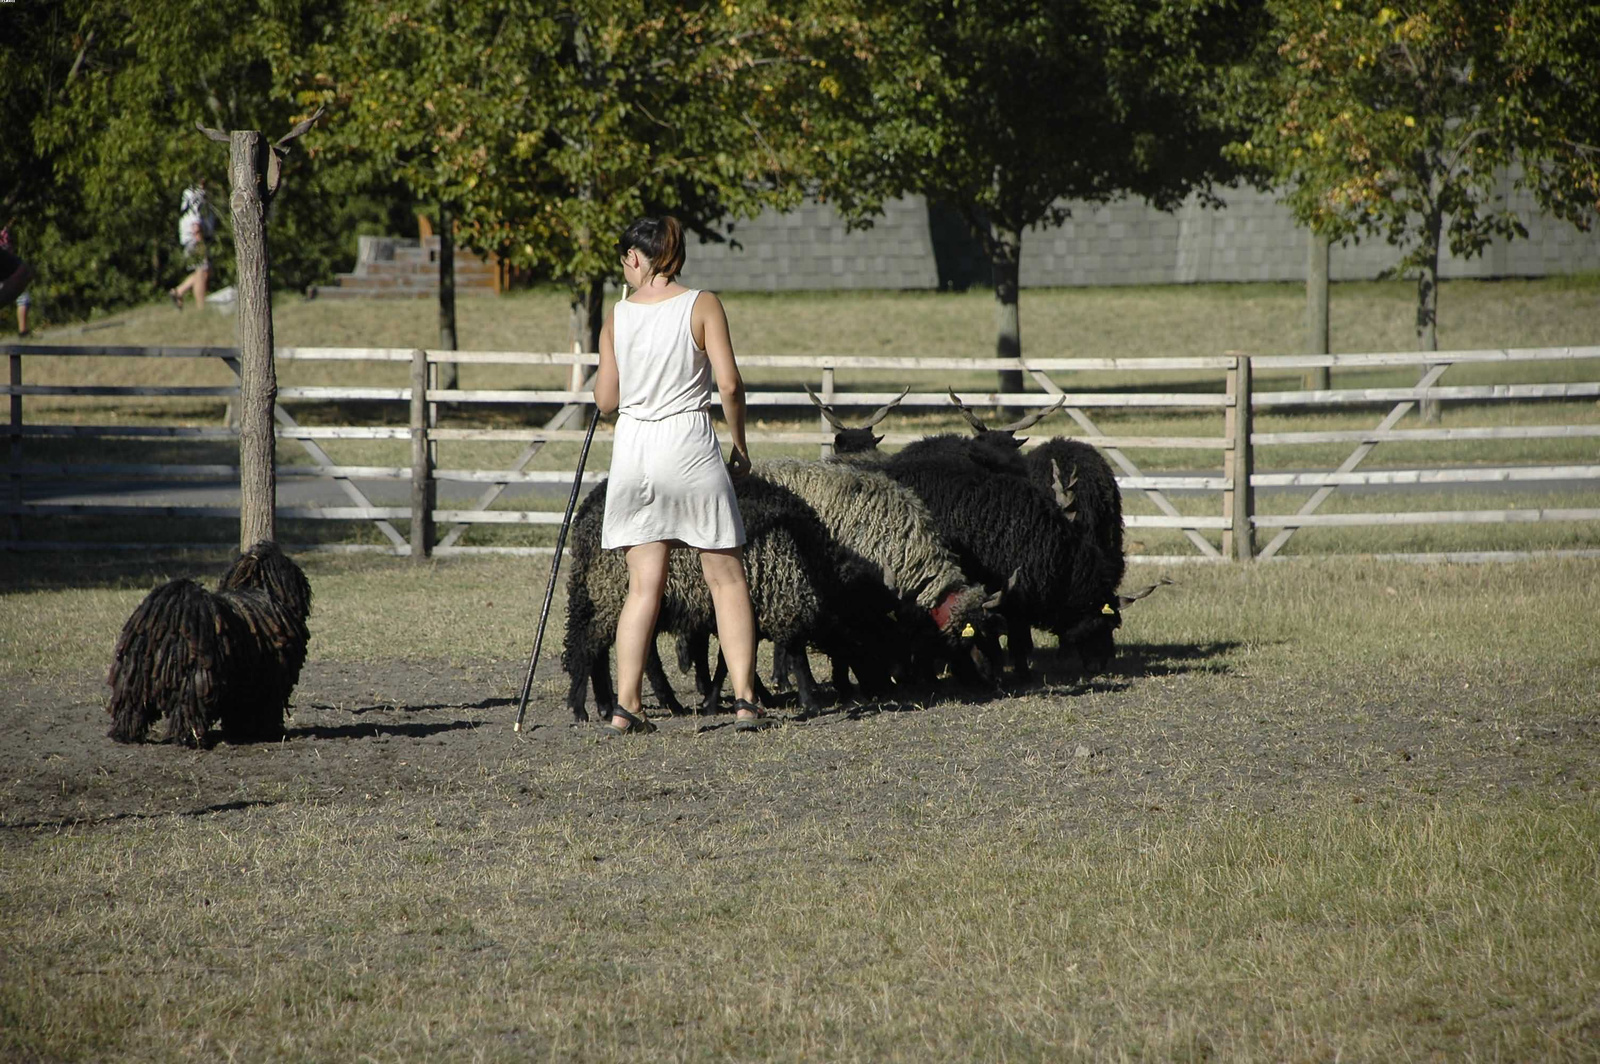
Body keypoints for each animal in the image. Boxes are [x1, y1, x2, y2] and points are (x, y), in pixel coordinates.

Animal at [105, 540, 312, 745]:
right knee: (187, 709)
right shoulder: (270, 679)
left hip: (134, 673)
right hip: (195, 678)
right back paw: (189, 738)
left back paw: (125, 734)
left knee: (131, 705)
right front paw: (264, 731)